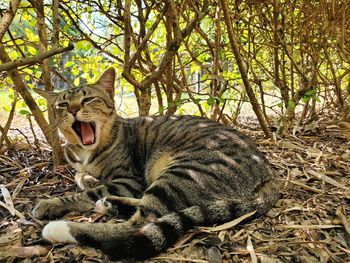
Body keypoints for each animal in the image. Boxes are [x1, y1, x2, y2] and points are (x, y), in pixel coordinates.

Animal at [32, 67, 278, 260]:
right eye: (63, 104)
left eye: (88, 99)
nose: (73, 110)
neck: (87, 151)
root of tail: (268, 171)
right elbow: (81, 177)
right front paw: (88, 179)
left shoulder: (129, 180)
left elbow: (84, 194)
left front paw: (51, 202)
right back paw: (109, 204)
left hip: (183, 173)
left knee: (138, 225)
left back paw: (63, 228)